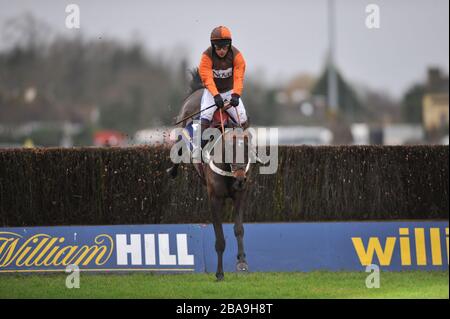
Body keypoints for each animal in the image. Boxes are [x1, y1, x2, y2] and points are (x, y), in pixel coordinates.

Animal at [169, 69, 251, 280]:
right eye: (229, 151)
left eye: (247, 150)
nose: (240, 179)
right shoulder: (214, 198)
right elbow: (219, 236)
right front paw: (219, 273)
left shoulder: (240, 195)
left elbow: (239, 229)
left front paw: (242, 262)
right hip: (182, 125)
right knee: (177, 146)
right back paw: (171, 170)